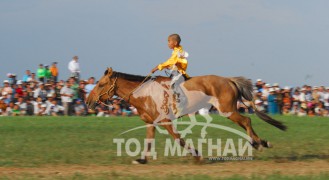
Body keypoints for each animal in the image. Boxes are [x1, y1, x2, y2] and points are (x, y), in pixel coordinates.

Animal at [86, 67, 286, 163]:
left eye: (101, 84)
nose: (88, 101)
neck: (145, 93)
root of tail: (228, 80)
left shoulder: (166, 121)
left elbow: (179, 140)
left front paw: (197, 155)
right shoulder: (151, 123)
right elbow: (149, 141)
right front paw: (142, 160)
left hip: (227, 110)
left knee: (247, 120)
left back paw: (258, 143)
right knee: (246, 121)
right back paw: (261, 142)